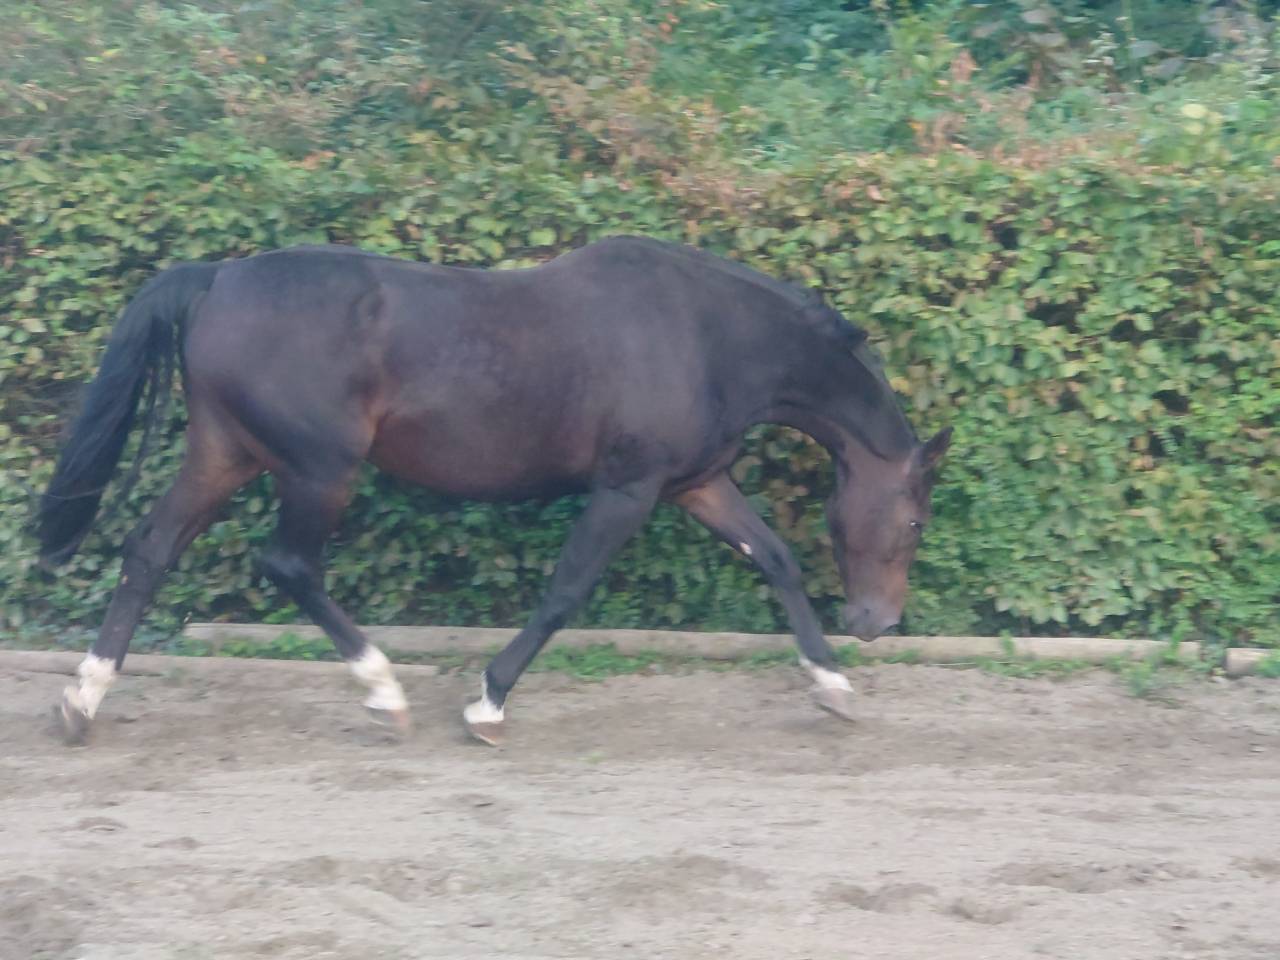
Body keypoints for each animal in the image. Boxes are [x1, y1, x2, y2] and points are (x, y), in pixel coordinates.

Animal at [38, 235, 951, 746]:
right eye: (913, 519)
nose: (879, 622)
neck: (706, 335)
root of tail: (217, 279)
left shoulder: (696, 483)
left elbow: (776, 560)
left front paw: (834, 689)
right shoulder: (628, 485)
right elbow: (566, 590)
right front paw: (486, 704)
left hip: (226, 453)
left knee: (151, 549)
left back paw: (83, 699)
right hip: (318, 467)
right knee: (290, 565)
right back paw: (385, 693)